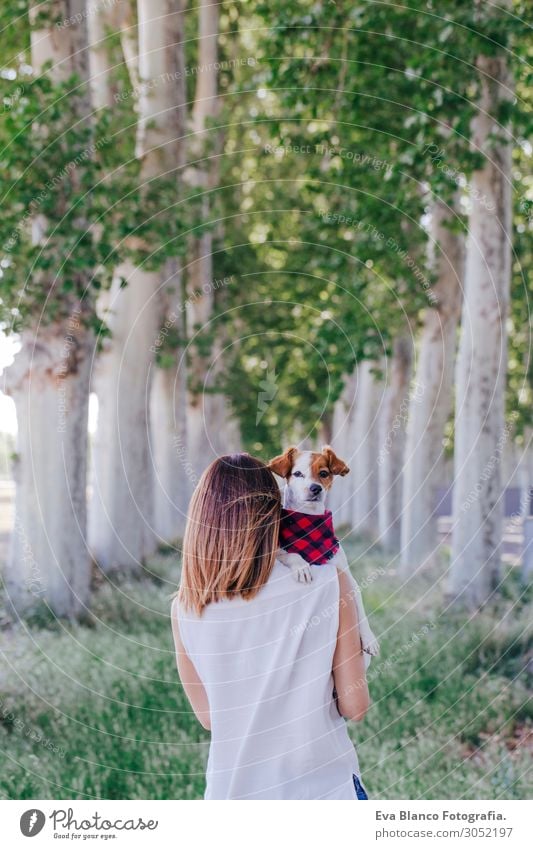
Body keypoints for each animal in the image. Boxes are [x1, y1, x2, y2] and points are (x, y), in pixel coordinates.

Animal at [270, 448, 378, 660]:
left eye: (323, 473)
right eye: (297, 473)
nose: (315, 488)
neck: (310, 524)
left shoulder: (346, 575)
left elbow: (359, 606)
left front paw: (369, 638)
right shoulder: (277, 551)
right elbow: (291, 554)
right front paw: (302, 567)